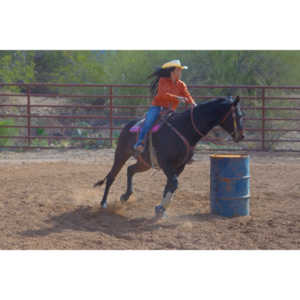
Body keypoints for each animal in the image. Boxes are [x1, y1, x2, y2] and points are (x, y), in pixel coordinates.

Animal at [95, 96, 245, 218]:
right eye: (238, 116)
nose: (241, 136)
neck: (184, 128)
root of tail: (128, 124)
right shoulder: (166, 164)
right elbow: (174, 183)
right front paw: (161, 208)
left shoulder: (180, 166)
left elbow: (170, 185)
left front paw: (160, 209)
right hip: (121, 153)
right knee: (111, 176)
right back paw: (103, 203)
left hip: (145, 163)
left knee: (130, 170)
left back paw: (125, 196)